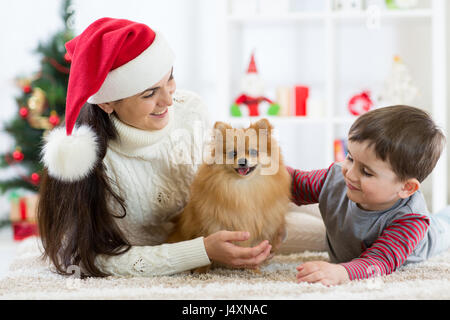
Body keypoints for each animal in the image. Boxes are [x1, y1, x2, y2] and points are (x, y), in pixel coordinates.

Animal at [167, 119, 290, 272]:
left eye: (253, 152)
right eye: (233, 153)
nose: (243, 161)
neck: (243, 187)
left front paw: (254, 269)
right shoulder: (207, 225)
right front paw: (201, 271)